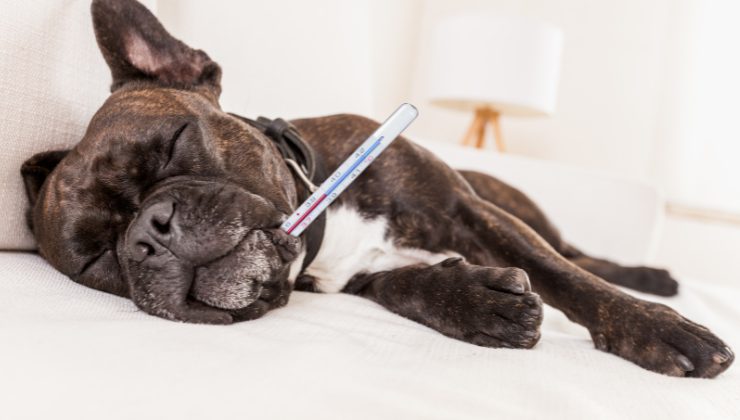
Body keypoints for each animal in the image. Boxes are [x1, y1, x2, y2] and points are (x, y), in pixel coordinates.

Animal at [20, 0, 732, 378]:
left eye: (173, 142)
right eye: (96, 261)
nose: (149, 233)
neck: (326, 224)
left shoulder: (470, 212)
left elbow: (568, 279)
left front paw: (659, 331)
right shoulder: (357, 278)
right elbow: (408, 287)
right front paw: (480, 304)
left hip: (514, 203)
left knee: (578, 254)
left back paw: (650, 279)